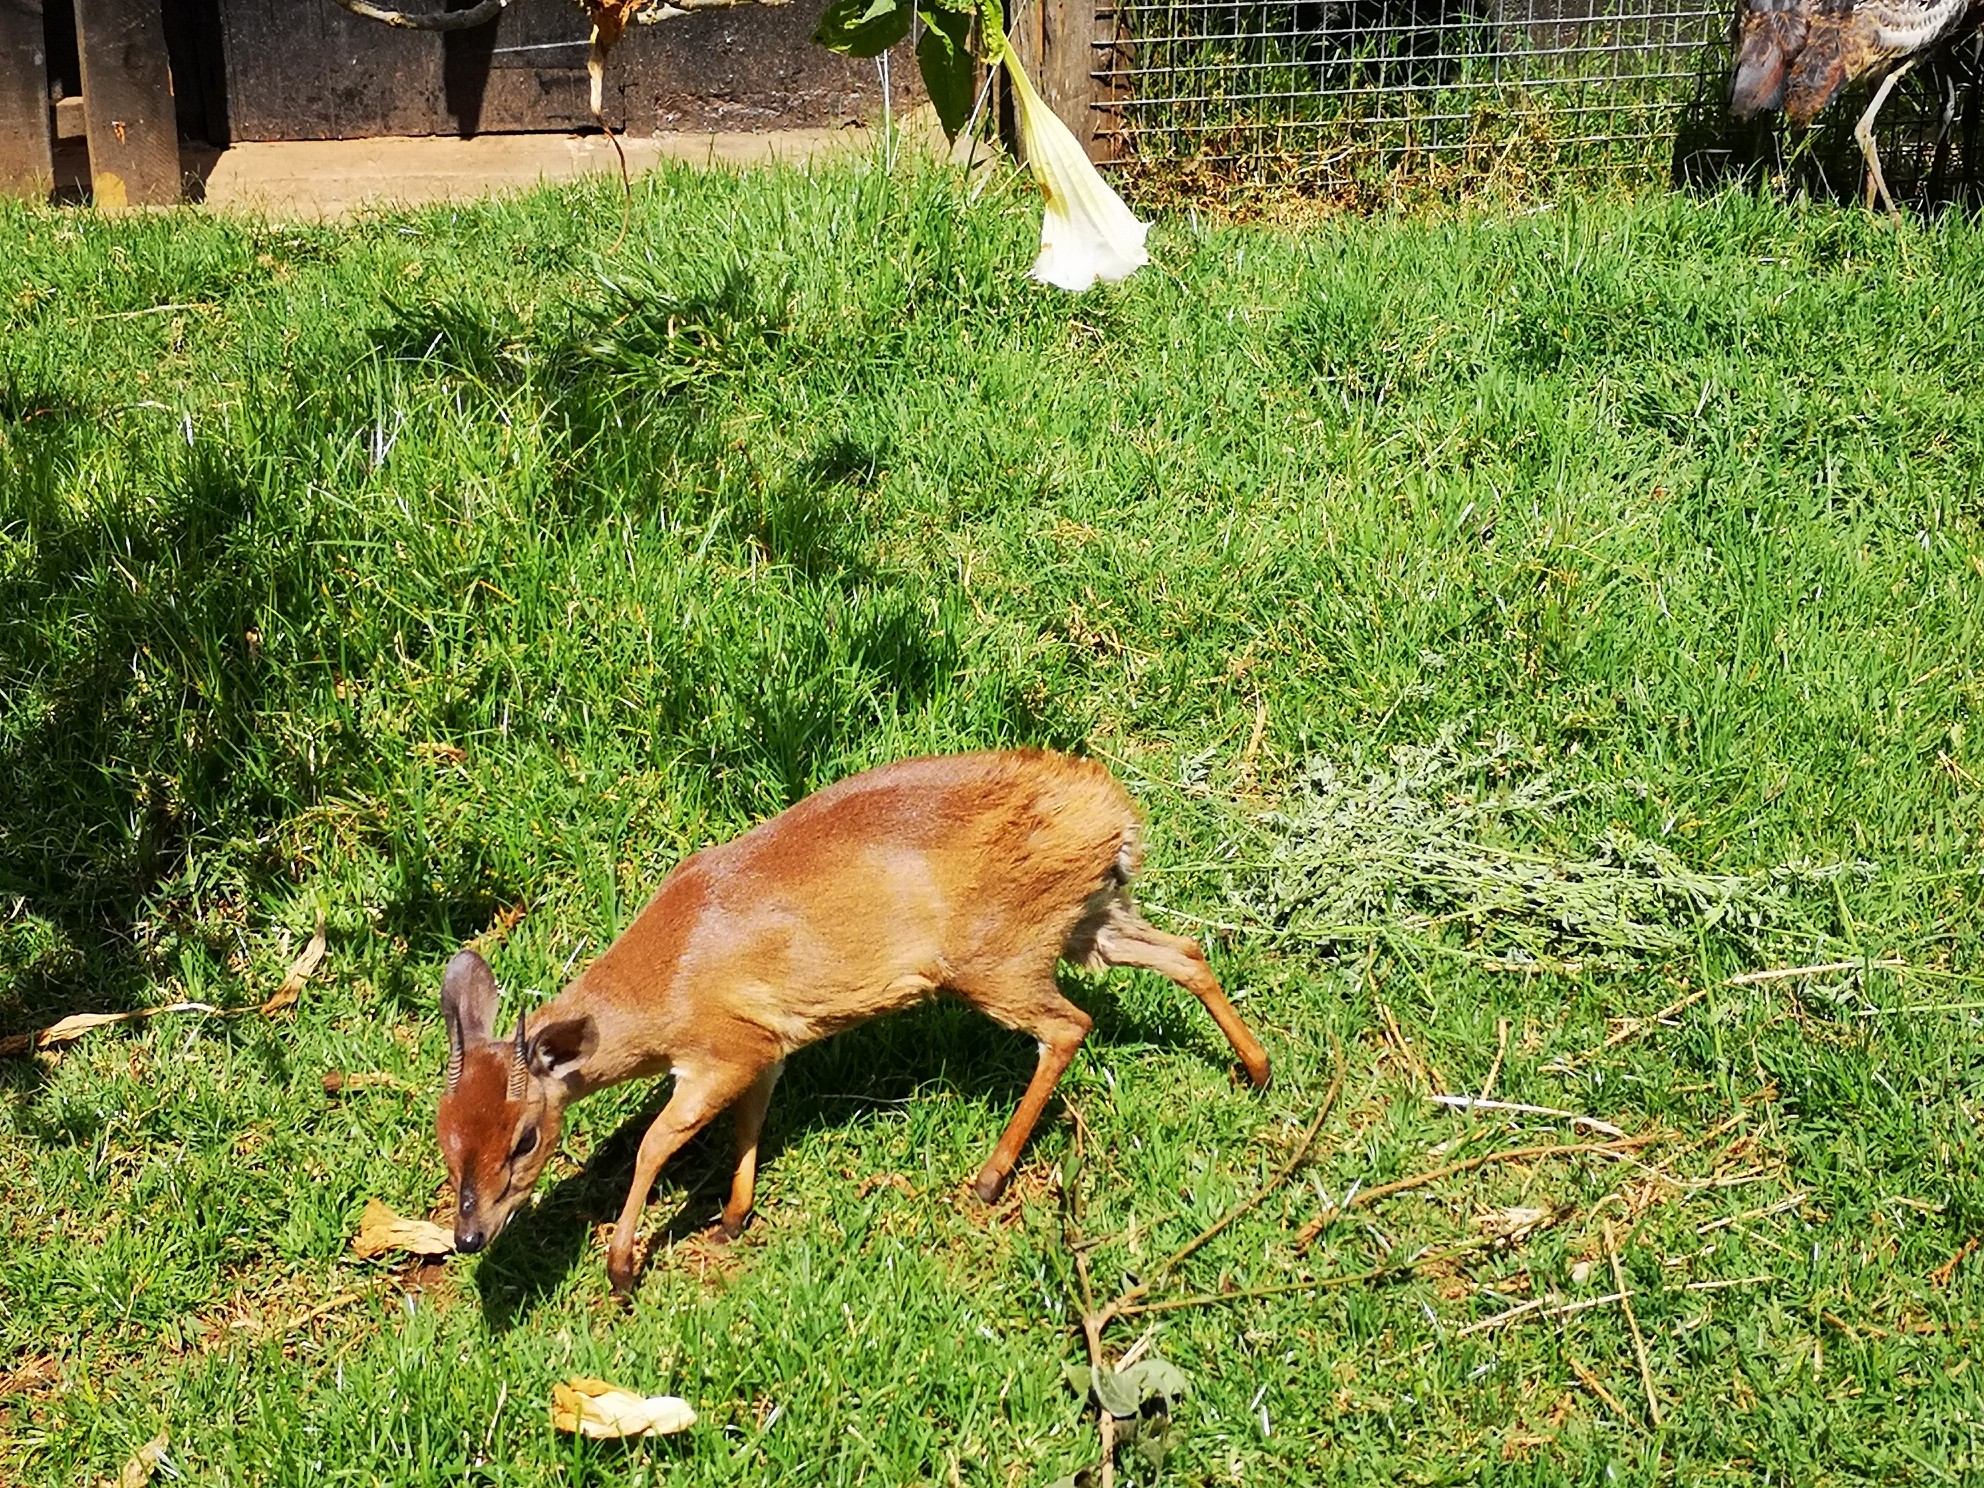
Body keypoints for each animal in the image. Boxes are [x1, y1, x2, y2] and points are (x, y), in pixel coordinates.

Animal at [434, 745, 1269, 1293]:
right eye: (446, 1137)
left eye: (525, 1138)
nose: (469, 1235)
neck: (664, 979)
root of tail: (1115, 812)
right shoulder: (768, 1046)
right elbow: (751, 1123)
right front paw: (731, 1217)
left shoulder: (722, 1048)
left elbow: (656, 1144)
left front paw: (621, 1266)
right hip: (1088, 921)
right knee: (1186, 950)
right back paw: (1257, 1069)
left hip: (1000, 957)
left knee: (1070, 1025)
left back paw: (988, 1178)